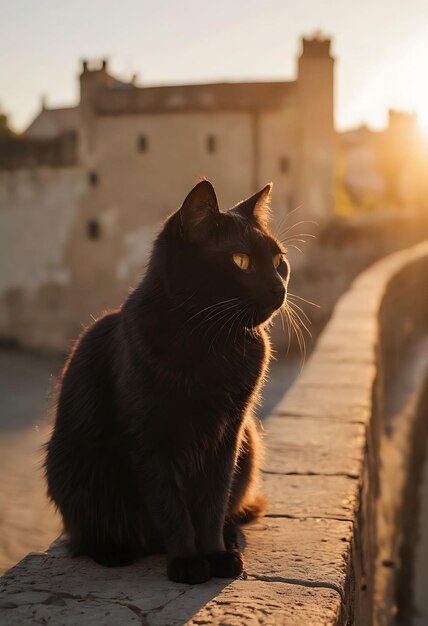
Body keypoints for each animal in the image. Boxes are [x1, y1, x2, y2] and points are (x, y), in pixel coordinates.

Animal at [45, 178, 290, 584]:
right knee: (84, 533)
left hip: (250, 443)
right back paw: (112, 550)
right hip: (75, 465)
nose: (279, 287)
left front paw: (216, 554)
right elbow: (171, 508)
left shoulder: (228, 435)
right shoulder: (148, 441)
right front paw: (188, 562)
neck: (211, 340)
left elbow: (212, 505)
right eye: (241, 260)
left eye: (278, 261)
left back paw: (230, 536)